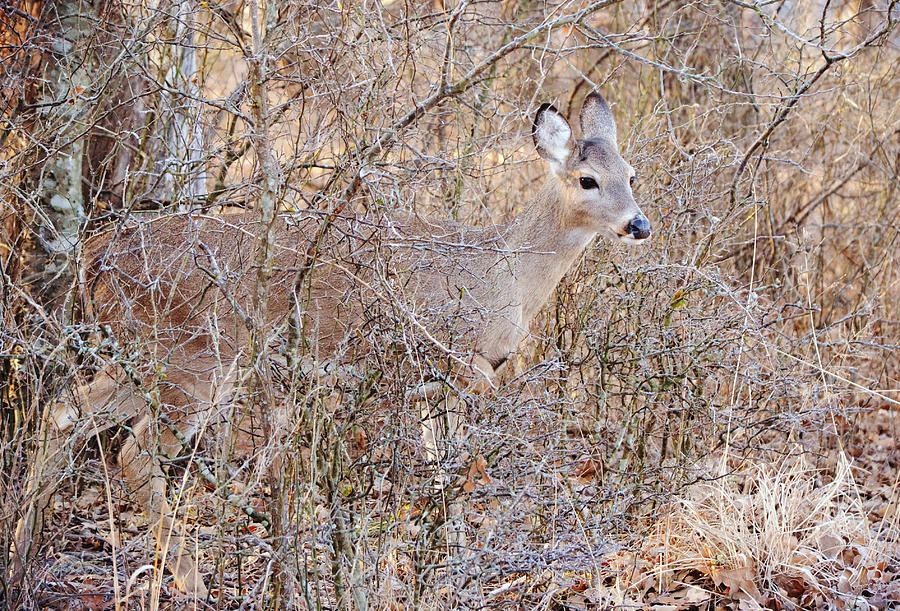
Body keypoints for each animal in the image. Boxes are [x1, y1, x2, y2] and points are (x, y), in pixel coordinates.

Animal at [10, 91, 652, 596]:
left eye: (631, 174)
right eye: (587, 180)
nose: (640, 225)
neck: (507, 273)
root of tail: (96, 256)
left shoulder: (432, 383)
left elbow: (441, 463)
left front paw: (448, 553)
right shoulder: (446, 352)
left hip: (142, 353)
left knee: (63, 412)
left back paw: (19, 551)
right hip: (196, 356)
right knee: (134, 452)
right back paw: (191, 582)